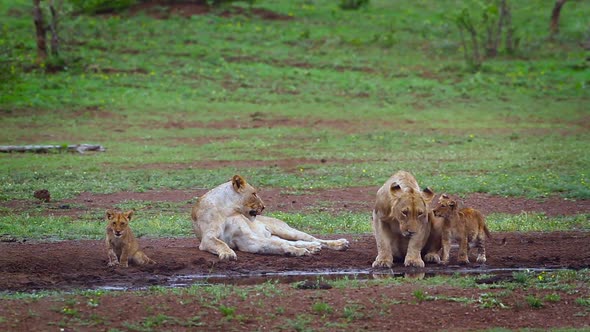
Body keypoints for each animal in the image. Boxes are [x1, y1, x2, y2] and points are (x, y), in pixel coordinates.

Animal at [194, 175, 352, 260]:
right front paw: (227, 254)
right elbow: (221, 243)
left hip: (286, 230)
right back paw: (313, 248)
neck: (227, 212)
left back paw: (339, 244)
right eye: (254, 193)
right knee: (296, 242)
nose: (264, 207)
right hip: (275, 235)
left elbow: (281, 245)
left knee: (313, 239)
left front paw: (296, 252)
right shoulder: (209, 238)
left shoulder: (248, 238)